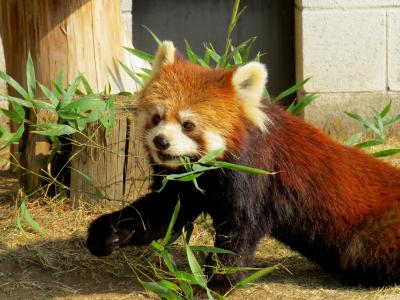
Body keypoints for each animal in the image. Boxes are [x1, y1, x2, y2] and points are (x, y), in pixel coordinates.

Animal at [87, 40, 400, 288]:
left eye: (188, 125)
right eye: (156, 118)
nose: (160, 141)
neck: (206, 172)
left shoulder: (255, 178)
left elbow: (240, 232)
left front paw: (213, 282)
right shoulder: (187, 185)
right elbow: (162, 214)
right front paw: (108, 231)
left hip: (372, 237)